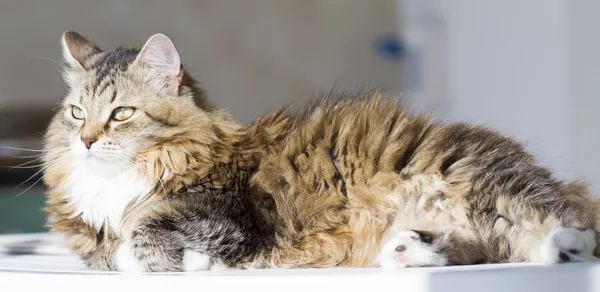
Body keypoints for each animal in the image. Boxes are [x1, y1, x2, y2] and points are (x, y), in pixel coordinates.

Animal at [44, 30, 600, 272]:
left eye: (121, 113)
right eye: (76, 112)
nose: (86, 140)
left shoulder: (230, 216)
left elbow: (144, 234)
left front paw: (193, 262)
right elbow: (117, 254)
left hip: (491, 189)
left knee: (568, 230)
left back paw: (564, 246)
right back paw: (408, 250)